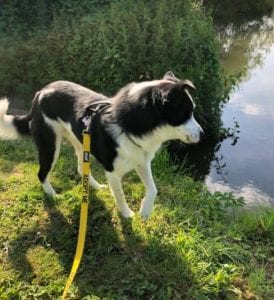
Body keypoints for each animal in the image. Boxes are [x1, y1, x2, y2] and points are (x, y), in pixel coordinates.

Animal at [0, 71, 203, 219]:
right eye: (185, 113)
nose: (203, 135)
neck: (128, 124)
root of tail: (39, 93)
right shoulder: (113, 173)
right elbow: (120, 195)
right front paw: (127, 215)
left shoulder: (141, 160)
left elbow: (153, 188)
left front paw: (145, 211)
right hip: (50, 145)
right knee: (42, 173)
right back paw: (52, 195)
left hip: (81, 143)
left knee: (80, 168)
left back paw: (95, 187)